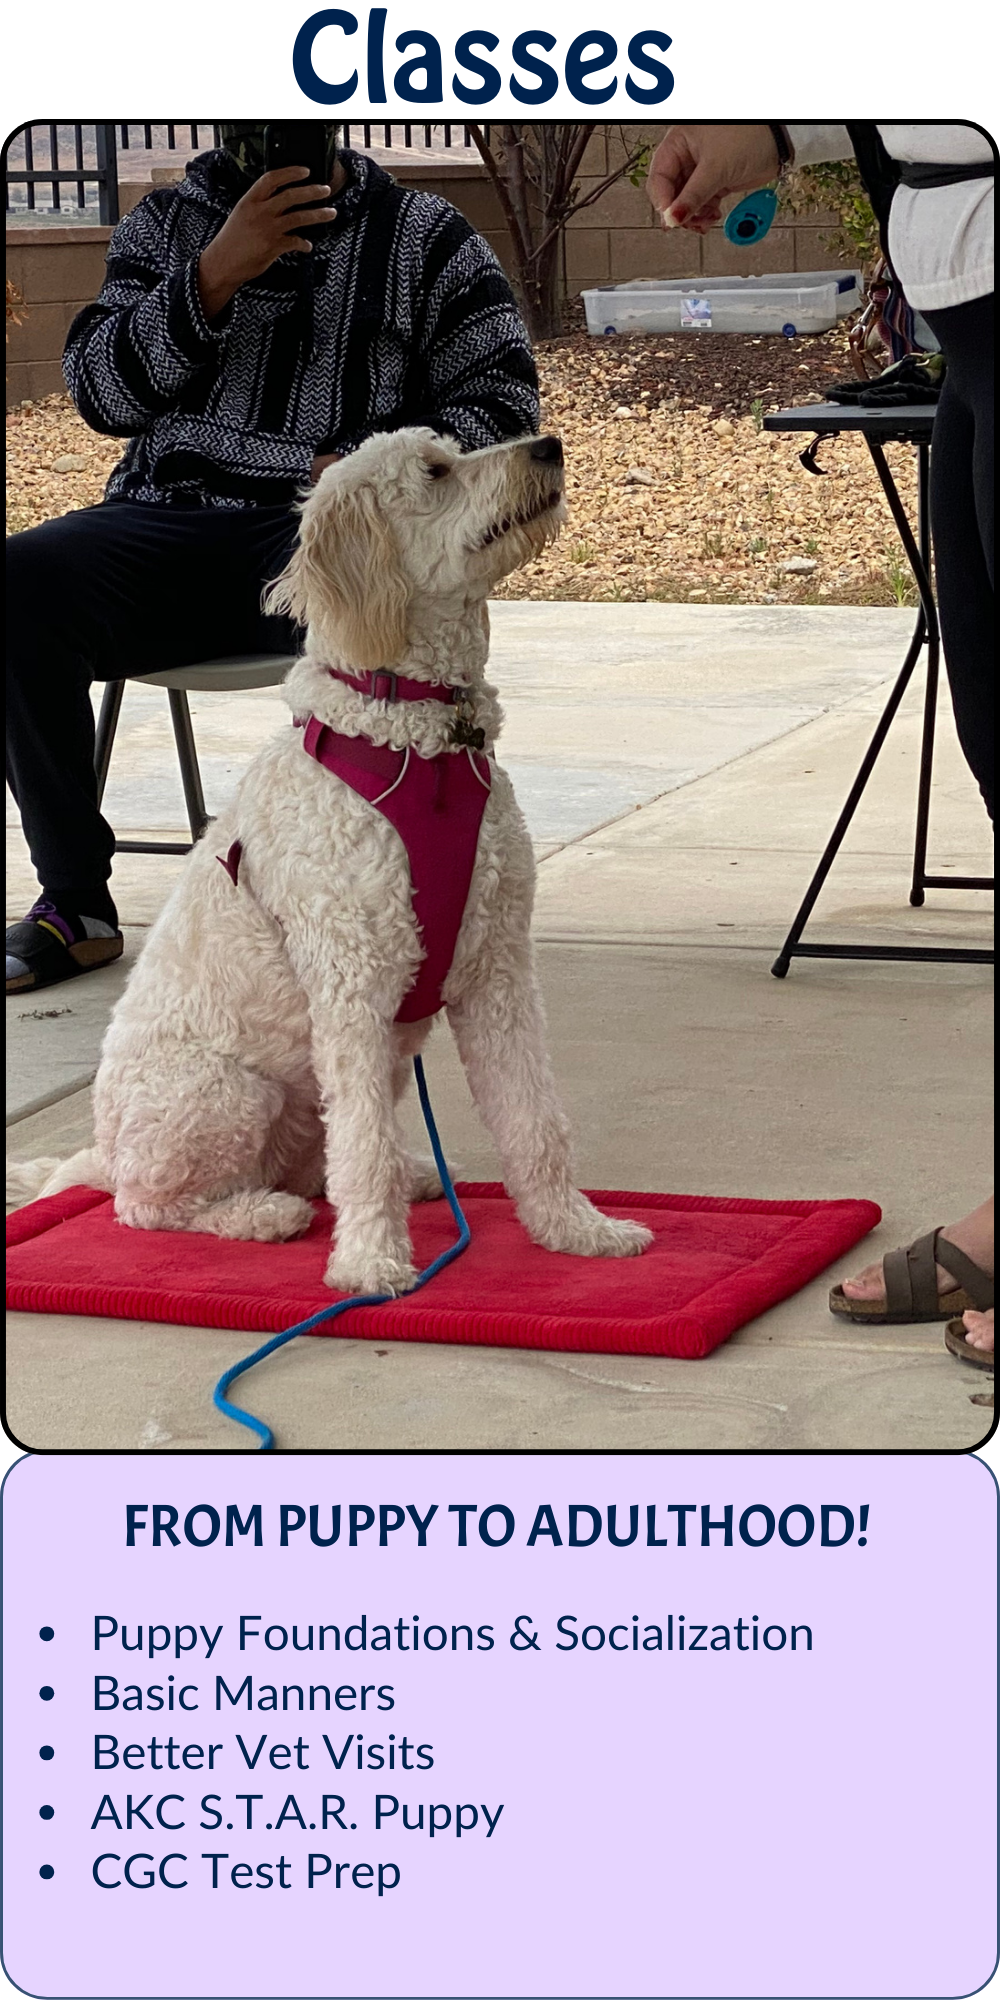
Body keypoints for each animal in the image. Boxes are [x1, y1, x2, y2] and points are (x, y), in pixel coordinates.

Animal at [19, 428, 656, 1288]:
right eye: (436, 471)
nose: (549, 444)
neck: (419, 743)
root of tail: (102, 1153)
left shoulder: (498, 973)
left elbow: (534, 1118)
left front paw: (574, 1229)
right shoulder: (353, 987)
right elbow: (364, 1150)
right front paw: (371, 1266)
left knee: (324, 1161)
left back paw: (407, 1177)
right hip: (225, 1091)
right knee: (151, 1208)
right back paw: (262, 1215)